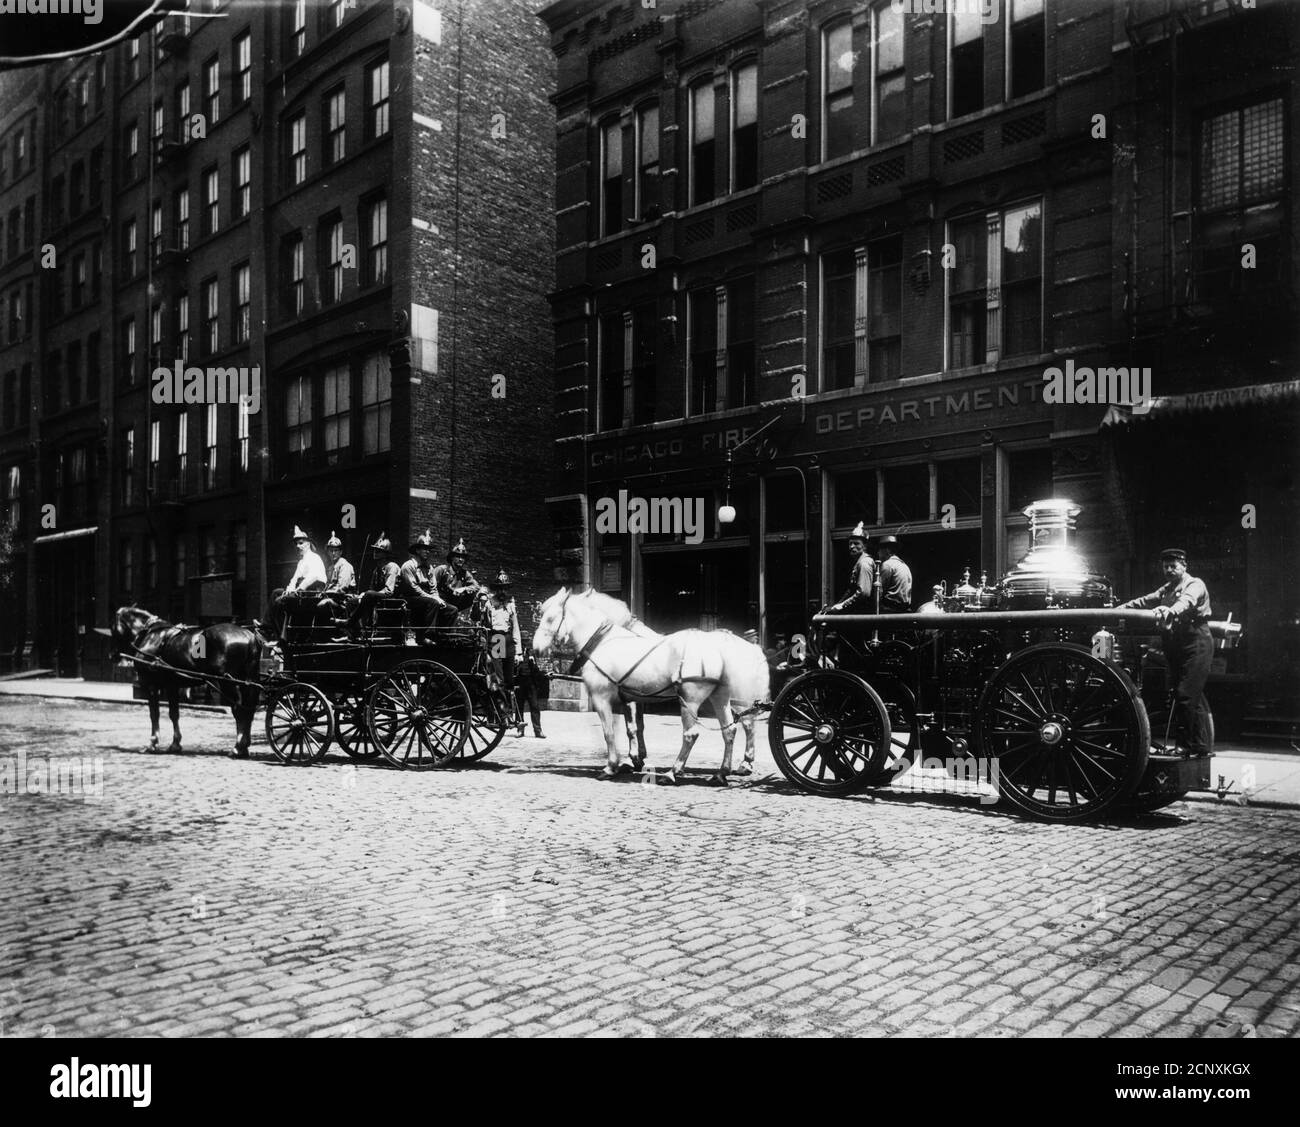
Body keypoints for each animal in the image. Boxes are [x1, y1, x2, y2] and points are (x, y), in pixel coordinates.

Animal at [111, 608, 263, 759]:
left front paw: (153, 744)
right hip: (246, 682)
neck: (152, 636)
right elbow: (174, 714)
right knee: (249, 710)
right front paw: (175, 744)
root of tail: (249, 635)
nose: (112, 656)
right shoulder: (171, 686)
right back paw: (244, 746)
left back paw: (238, 747)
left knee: (239, 710)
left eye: (113, 627)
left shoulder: (152, 685)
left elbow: (154, 714)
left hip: (227, 682)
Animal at [530, 590, 764, 785]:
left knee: (696, 733)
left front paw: (612, 766)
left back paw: (674, 772)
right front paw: (633, 760)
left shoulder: (602, 698)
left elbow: (609, 732)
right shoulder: (628, 698)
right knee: (730, 730)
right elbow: (631, 729)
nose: (535, 649)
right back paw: (721, 773)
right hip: (719, 697)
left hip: (693, 700)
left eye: (550, 618)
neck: (602, 642)